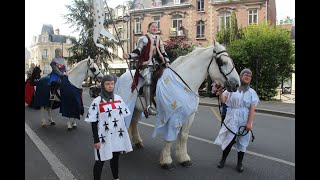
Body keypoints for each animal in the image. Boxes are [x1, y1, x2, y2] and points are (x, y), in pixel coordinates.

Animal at [115, 40, 240, 169]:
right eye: (222, 62)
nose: (236, 84)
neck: (183, 83)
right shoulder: (173, 115)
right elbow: (170, 136)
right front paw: (166, 160)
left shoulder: (189, 116)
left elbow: (183, 136)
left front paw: (183, 158)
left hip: (137, 108)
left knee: (134, 122)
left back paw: (138, 141)